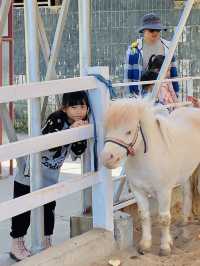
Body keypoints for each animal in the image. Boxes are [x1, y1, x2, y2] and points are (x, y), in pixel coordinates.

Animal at [101, 99, 200, 256]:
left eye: (128, 131)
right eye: (107, 128)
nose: (106, 158)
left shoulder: (164, 191)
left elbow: (164, 218)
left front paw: (165, 247)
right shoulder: (138, 190)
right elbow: (144, 216)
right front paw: (145, 245)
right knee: (187, 194)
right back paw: (183, 221)